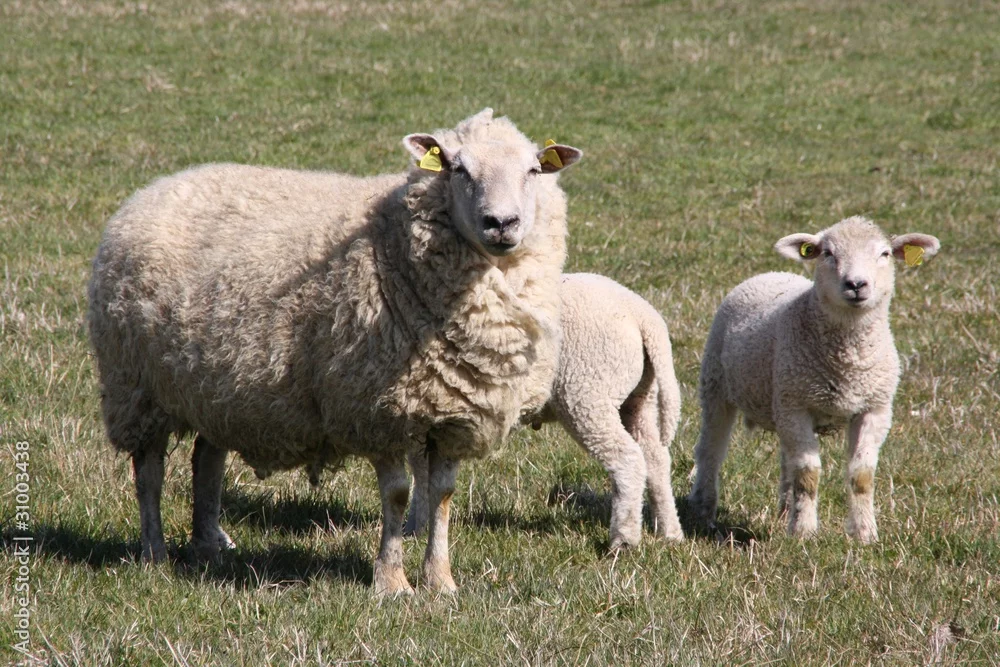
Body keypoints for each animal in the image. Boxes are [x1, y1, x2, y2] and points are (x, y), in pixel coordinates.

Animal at [87, 108, 582, 595]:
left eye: (533, 170)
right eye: (457, 169)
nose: (501, 223)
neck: (392, 242)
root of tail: (158, 187)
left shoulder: (452, 413)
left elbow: (442, 495)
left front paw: (440, 583)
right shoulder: (377, 409)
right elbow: (397, 495)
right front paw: (392, 583)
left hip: (216, 387)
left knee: (206, 459)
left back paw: (208, 545)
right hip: (136, 386)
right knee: (149, 473)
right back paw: (154, 554)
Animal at [407, 272, 684, 550]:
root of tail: (642, 315)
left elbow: (420, 474)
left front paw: (414, 530)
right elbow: (423, 472)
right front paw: (418, 527)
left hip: (587, 392)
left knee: (628, 458)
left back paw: (623, 539)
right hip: (639, 398)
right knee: (655, 458)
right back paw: (669, 532)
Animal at [687, 216, 940, 543]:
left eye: (884, 254)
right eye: (828, 253)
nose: (856, 284)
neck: (847, 360)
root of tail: (772, 273)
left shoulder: (875, 409)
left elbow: (861, 476)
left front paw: (865, 534)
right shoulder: (797, 407)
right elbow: (808, 475)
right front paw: (804, 533)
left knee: (785, 460)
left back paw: (785, 512)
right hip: (717, 385)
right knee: (711, 450)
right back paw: (704, 511)